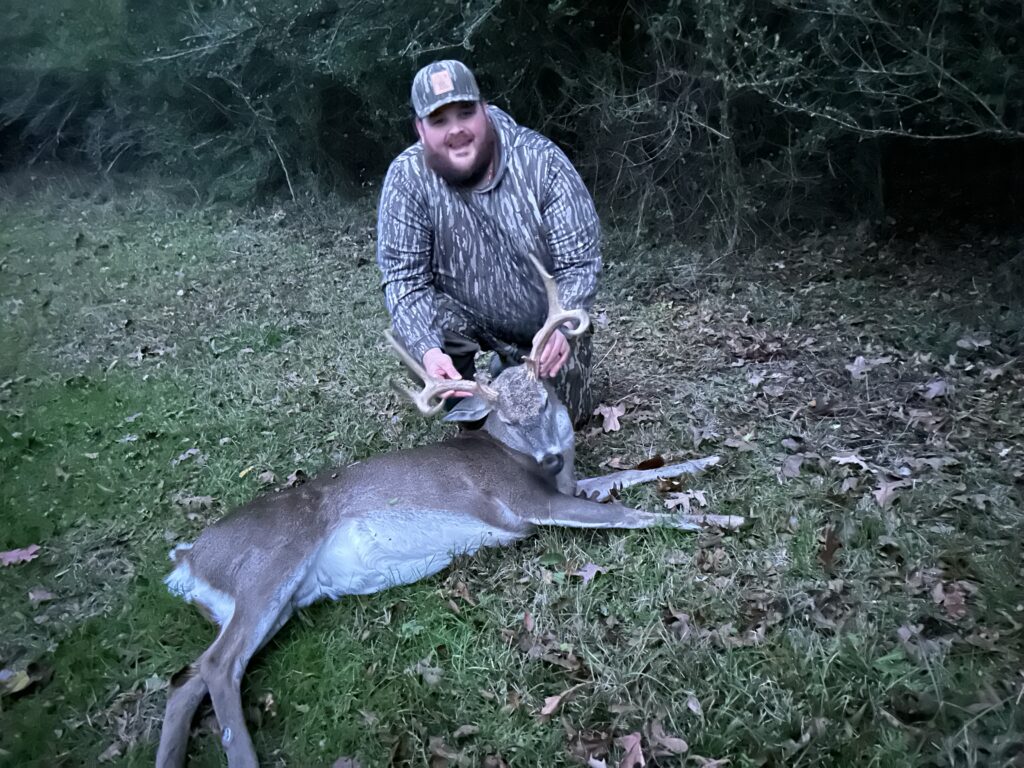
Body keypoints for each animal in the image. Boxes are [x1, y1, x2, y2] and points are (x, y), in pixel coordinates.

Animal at [155, 252, 742, 768]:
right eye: (507, 418)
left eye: (545, 400)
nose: (551, 456)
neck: (531, 463)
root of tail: (185, 558)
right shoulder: (528, 501)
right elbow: (630, 514)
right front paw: (722, 520)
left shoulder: (569, 483)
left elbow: (630, 474)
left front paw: (709, 459)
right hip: (273, 561)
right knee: (218, 665)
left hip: (280, 599)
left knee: (187, 678)